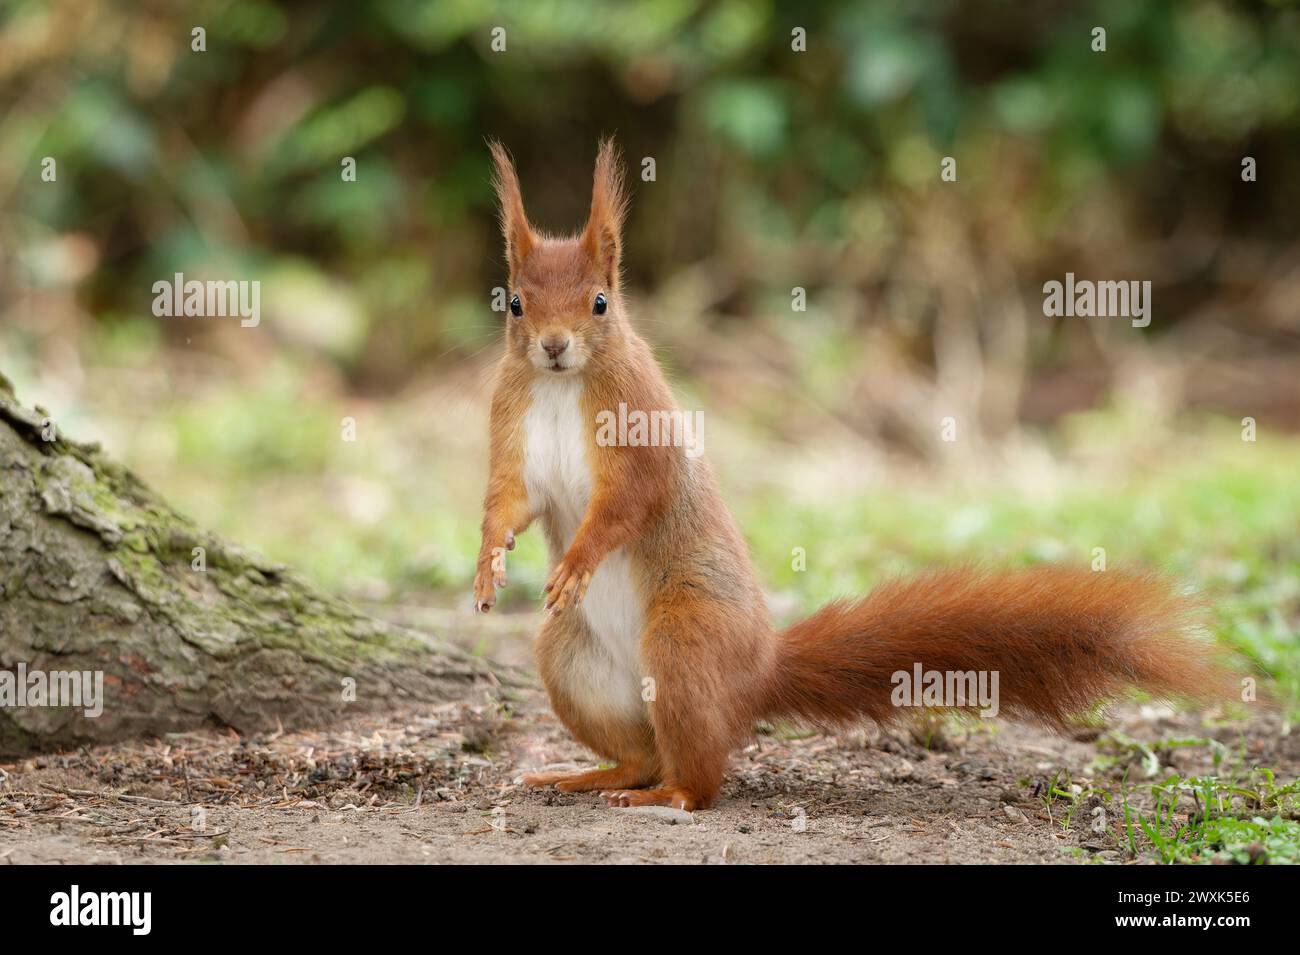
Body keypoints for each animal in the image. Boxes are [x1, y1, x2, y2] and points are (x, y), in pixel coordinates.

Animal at [473, 138, 1222, 810]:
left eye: (600, 302)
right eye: (514, 303)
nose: (554, 346)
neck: (563, 386)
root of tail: (757, 670)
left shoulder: (640, 424)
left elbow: (630, 499)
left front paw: (578, 559)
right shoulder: (513, 426)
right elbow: (510, 499)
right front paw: (488, 565)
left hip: (685, 641)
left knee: (700, 774)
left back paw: (671, 794)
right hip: (572, 659)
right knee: (639, 754)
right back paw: (583, 776)